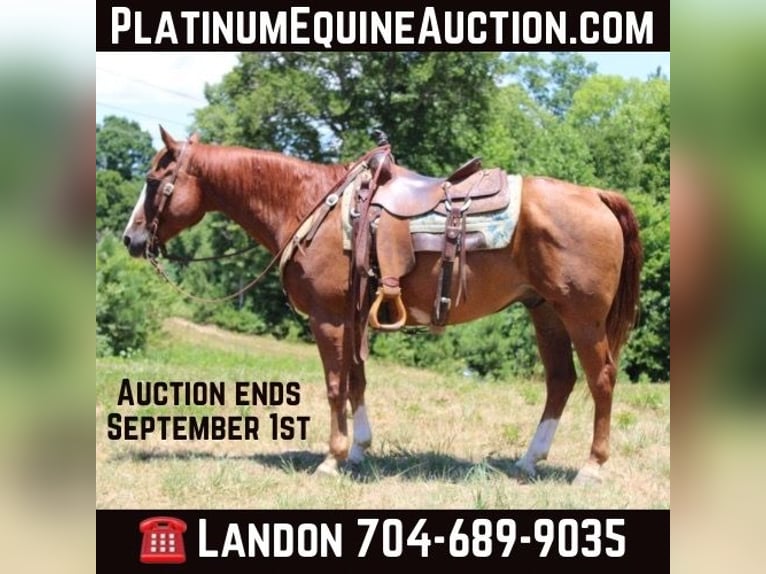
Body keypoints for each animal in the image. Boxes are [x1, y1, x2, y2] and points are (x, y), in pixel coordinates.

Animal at [123, 127, 642, 484]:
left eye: (152, 180)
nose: (130, 238)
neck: (311, 206)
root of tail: (598, 196)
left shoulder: (329, 318)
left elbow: (335, 385)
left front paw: (331, 458)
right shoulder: (353, 317)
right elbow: (357, 380)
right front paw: (359, 450)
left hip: (582, 317)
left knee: (600, 379)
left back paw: (592, 467)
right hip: (546, 311)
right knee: (561, 381)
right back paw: (529, 459)